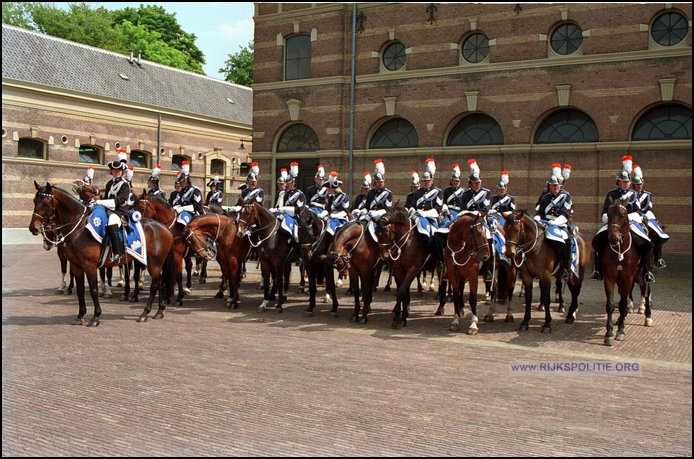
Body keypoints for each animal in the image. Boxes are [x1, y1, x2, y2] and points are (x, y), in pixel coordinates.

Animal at [29, 182, 175, 328]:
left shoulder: (90, 265)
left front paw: (95, 317)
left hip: (154, 263)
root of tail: (165, 228)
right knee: (160, 282)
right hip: (153, 263)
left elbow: (93, 290)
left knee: (154, 285)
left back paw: (144, 313)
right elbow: (80, 290)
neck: (79, 229)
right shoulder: (76, 265)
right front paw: (80, 316)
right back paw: (159, 312)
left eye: (46, 202)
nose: (33, 228)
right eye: (34, 201)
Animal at [604, 201, 652, 344]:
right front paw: (609, 333)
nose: (613, 238)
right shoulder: (609, 278)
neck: (620, 253)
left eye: (623, 215)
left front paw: (620, 331)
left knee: (646, 292)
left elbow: (623, 304)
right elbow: (611, 304)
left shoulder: (628, 278)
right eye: (608, 214)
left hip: (644, 273)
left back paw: (647, 316)